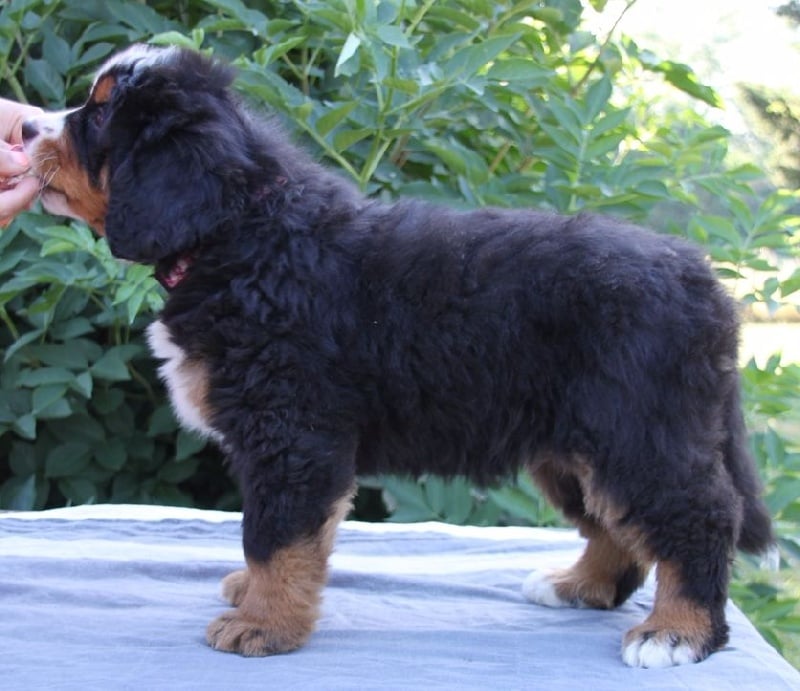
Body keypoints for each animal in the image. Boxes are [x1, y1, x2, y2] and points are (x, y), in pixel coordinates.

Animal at [21, 45, 773, 668]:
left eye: (99, 114)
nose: (25, 129)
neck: (242, 236)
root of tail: (701, 277)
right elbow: (281, 539)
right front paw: (255, 596)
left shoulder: (293, 436)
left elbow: (274, 535)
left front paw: (264, 623)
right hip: (576, 445)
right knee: (616, 524)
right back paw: (577, 584)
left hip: (640, 431)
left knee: (698, 517)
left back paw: (676, 631)